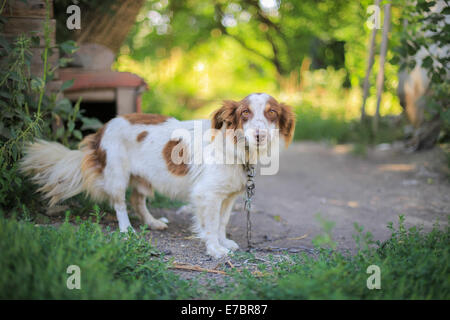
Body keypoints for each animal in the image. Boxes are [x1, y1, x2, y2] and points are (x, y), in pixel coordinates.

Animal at [21, 92, 296, 258]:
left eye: (272, 113)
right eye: (245, 114)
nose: (259, 135)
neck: (236, 147)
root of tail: (101, 129)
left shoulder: (227, 196)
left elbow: (221, 222)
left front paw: (223, 242)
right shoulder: (206, 195)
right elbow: (209, 225)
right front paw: (214, 249)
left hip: (143, 179)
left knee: (137, 201)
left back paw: (152, 222)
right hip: (117, 175)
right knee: (120, 203)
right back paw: (127, 230)